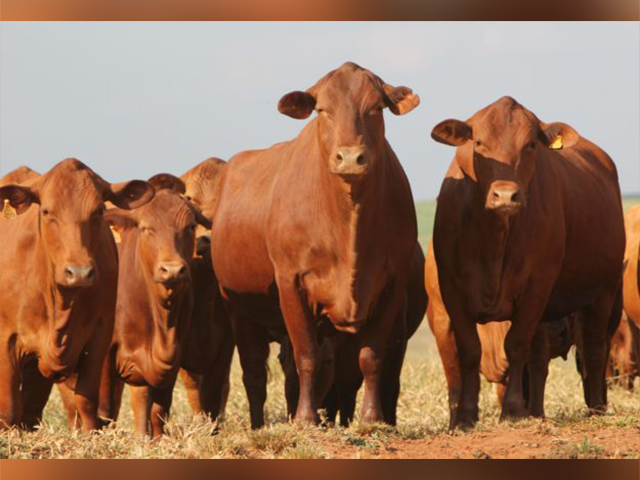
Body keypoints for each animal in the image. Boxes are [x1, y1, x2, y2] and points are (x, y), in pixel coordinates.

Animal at [0, 158, 154, 432]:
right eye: (46, 211)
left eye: (99, 211)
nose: (79, 272)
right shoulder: (6, 336)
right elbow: (7, 407)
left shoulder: (101, 332)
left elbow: (87, 399)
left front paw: (90, 432)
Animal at [209, 62, 420, 428]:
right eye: (323, 110)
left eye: (376, 107)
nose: (349, 158)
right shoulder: (291, 283)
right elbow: (306, 356)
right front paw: (306, 419)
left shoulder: (391, 286)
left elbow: (371, 358)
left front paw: (372, 418)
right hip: (238, 307)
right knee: (255, 373)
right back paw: (259, 424)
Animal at [430, 96, 624, 428]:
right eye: (478, 143)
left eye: (531, 144)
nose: (505, 196)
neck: (494, 242)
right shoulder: (452, 290)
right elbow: (469, 349)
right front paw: (465, 417)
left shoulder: (537, 286)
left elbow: (516, 344)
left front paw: (511, 411)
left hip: (603, 292)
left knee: (594, 349)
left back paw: (596, 408)